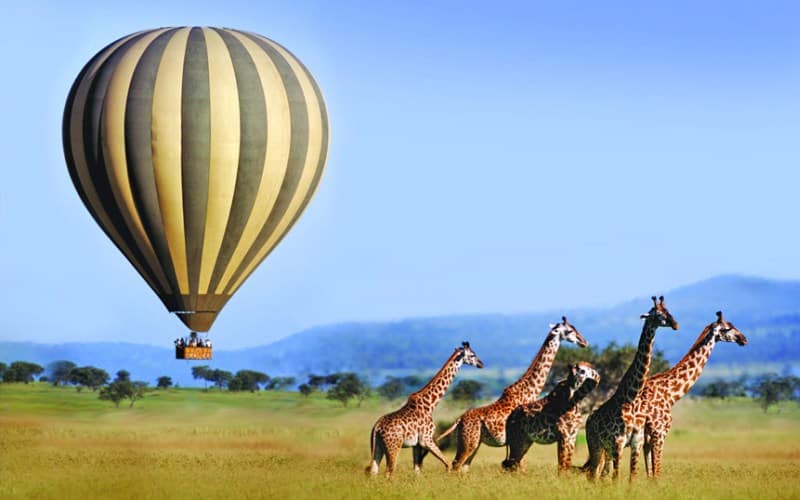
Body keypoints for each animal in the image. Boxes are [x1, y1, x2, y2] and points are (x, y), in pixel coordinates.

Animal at [366, 340, 484, 476]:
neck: (430, 404)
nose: (481, 364)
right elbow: (448, 464)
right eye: (472, 355)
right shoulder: (426, 439)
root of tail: (376, 427)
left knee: (373, 471)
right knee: (389, 472)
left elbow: (417, 470)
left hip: (378, 446)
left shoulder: (417, 444)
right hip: (393, 446)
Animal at [438, 316, 588, 472]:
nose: (583, 342)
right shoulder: (520, 439)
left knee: (463, 468)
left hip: (475, 443)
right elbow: (521, 468)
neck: (529, 391)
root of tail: (459, 420)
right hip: (468, 443)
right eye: (569, 330)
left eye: (575, 328)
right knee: (455, 467)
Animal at [580, 296, 680, 480]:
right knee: (593, 475)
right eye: (658, 314)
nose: (676, 324)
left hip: (606, 449)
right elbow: (616, 477)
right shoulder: (618, 442)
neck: (631, 398)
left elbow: (631, 477)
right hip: (596, 446)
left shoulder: (636, 442)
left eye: (669, 311)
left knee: (601, 475)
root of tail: (589, 420)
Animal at [632, 310, 752, 478]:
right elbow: (657, 473)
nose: (744, 339)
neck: (669, 393)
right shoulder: (658, 433)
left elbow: (650, 474)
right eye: (727, 328)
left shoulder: (648, 439)